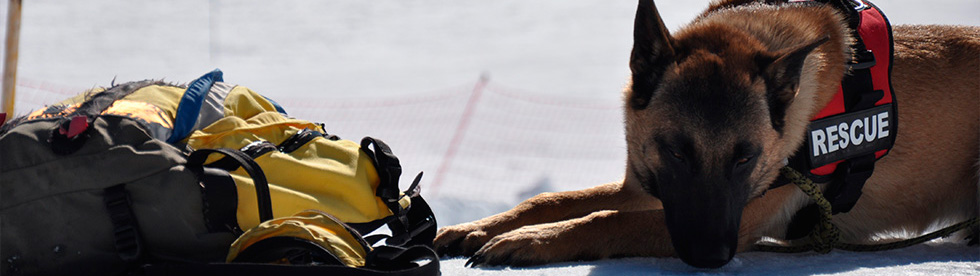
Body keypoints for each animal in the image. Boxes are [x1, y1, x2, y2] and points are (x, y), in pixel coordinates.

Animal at [436, 0, 980, 268]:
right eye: (676, 152)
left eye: (746, 158)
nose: (713, 257)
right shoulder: (646, 186)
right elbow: (552, 199)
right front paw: (484, 225)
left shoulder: (731, 215)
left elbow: (602, 219)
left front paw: (532, 239)